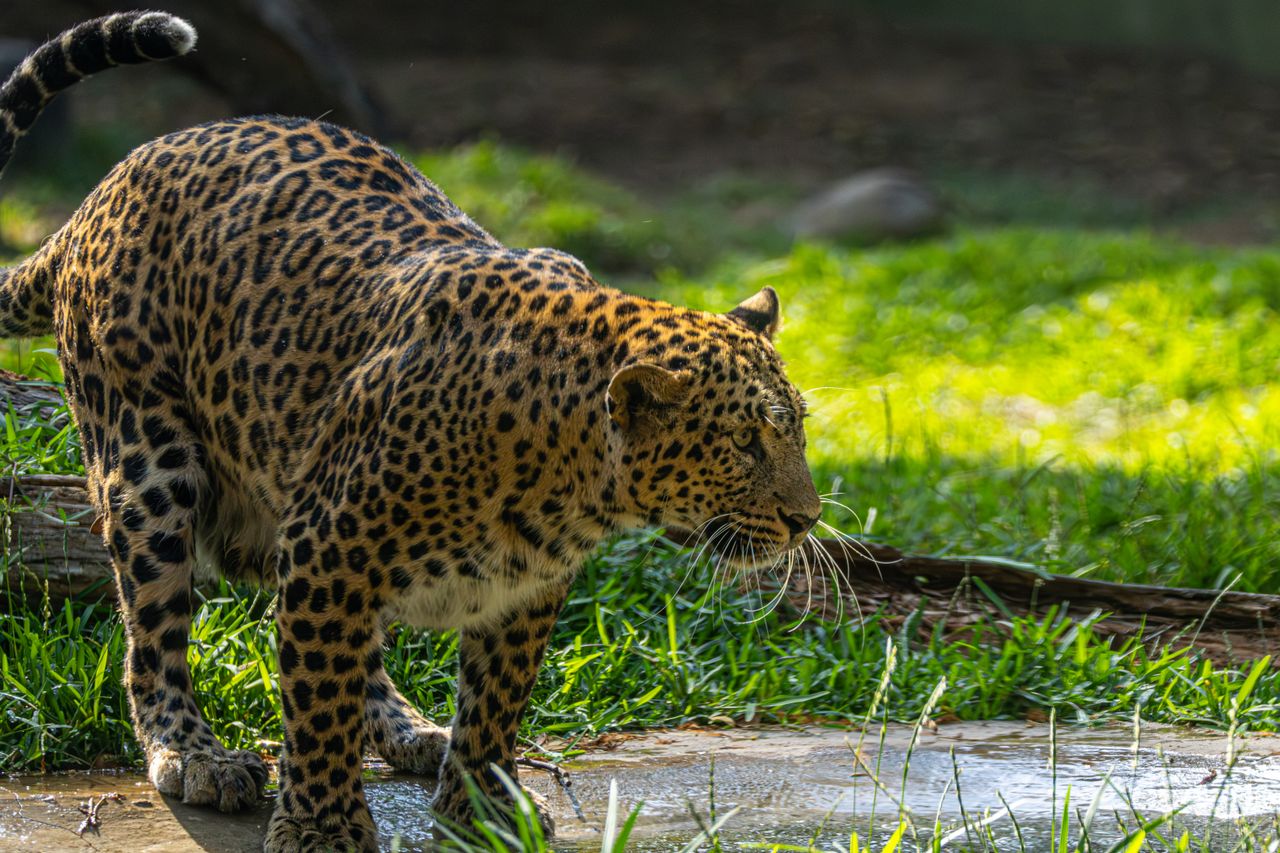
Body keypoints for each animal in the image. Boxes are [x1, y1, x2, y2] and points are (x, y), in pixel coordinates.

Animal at [0, 11, 821, 851]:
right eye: (745, 443)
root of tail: (107, 185)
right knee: (155, 630)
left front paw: (484, 808)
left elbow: (494, 700)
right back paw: (194, 752)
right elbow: (315, 699)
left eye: (797, 434)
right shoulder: (329, 544)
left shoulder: (520, 587)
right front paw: (323, 824)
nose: (808, 518)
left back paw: (411, 731)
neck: (572, 475)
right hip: (149, 463)